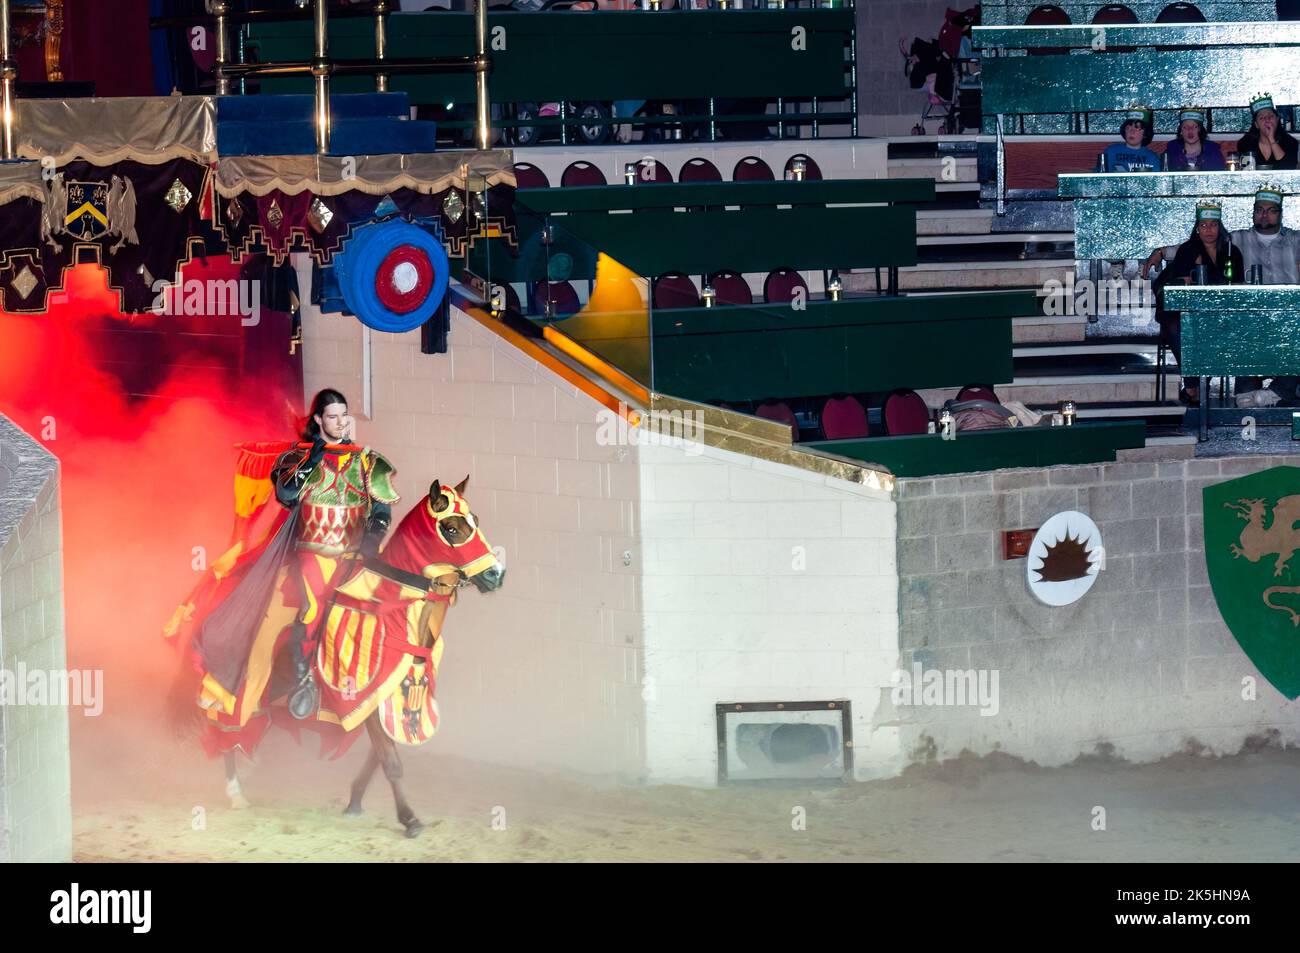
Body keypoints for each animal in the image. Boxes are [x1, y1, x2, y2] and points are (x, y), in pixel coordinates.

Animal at [195, 475, 504, 832]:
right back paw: (235, 791)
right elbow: (389, 760)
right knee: (226, 725)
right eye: (451, 528)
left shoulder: (391, 694)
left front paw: (355, 801)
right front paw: (409, 818)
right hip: (245, 680)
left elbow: (380, 754)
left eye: (475, 521)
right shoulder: (363, 693)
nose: (496, 574)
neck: (393, 609)